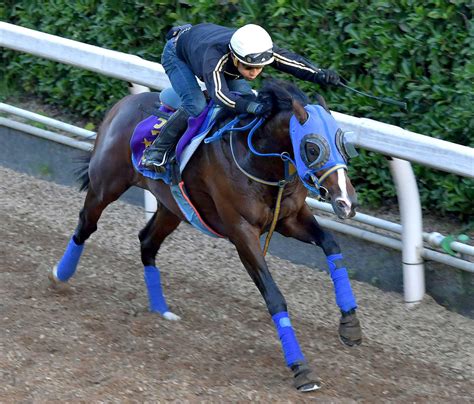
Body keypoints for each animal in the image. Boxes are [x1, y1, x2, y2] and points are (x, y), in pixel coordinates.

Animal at [50, 79, 362, 392]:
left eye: (343, 144)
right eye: (312, 147)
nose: (347, 202)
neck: (258, 160)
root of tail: (122, 105)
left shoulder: (290, 219)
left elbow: (331, 244)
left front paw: (351, 326)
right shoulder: (241, 232)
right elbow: (274, 295)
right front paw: (300, 367)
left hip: (172, 207)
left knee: (147, 242)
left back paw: (161, 308)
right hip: (107, 184)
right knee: (86, 225)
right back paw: (60, 275)